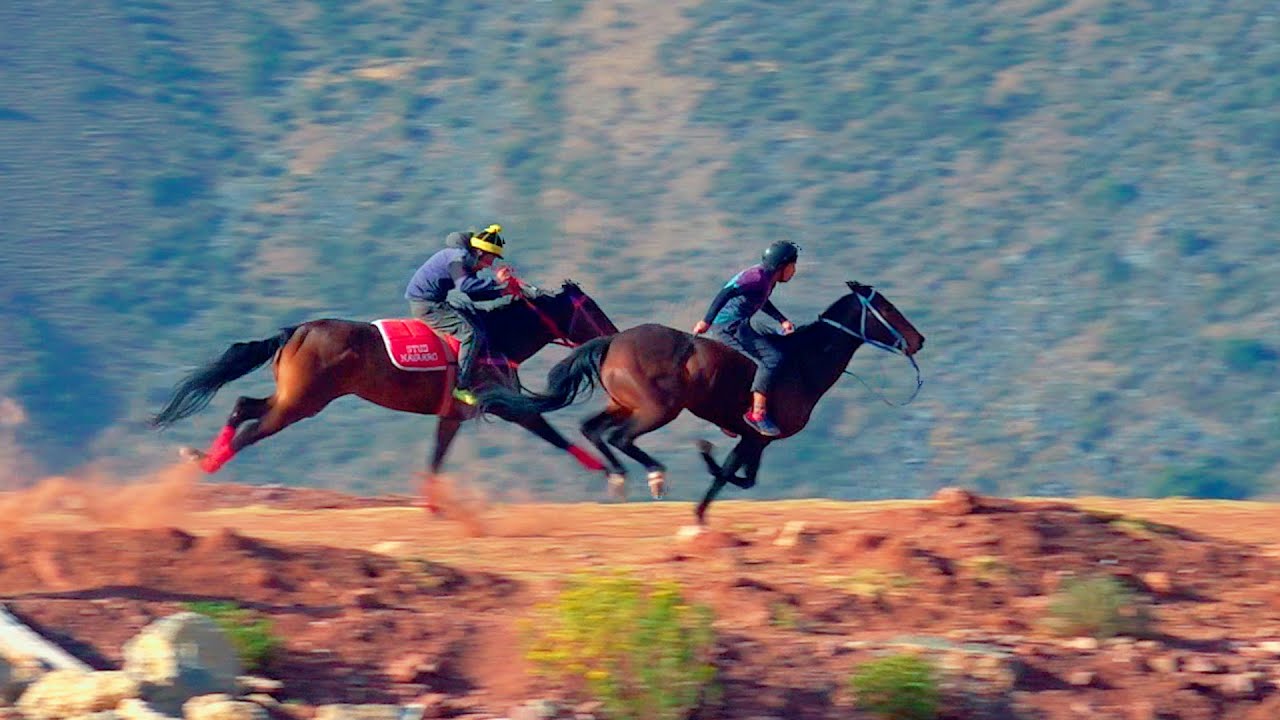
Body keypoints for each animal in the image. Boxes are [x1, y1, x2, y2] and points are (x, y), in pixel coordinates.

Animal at [151, 280, 619, 508]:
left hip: (293, 398)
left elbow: (435, 460)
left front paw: (435, 506)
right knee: (253, 428)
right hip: (301, 404)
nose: (614, 336)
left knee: (243, 405)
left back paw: (200, 455)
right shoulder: (506, 406)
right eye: (591, 309)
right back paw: (208, 463)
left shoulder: (453, 416)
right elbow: (552, 434)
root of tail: (296, 330)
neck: (498, 337)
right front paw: (612, 475)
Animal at [477, 281, 925, 523]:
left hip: (626, 404)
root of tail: (610, 343)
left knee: (592, 429)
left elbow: (742, 477)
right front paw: (698, 511)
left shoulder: (754, 439)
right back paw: (655, 476)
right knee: (621, 438)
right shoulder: (756, 435)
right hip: (658, 409)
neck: (803, 362)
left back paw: (620, 478)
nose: (918, 340)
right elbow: (729, 474)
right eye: (886, 307)